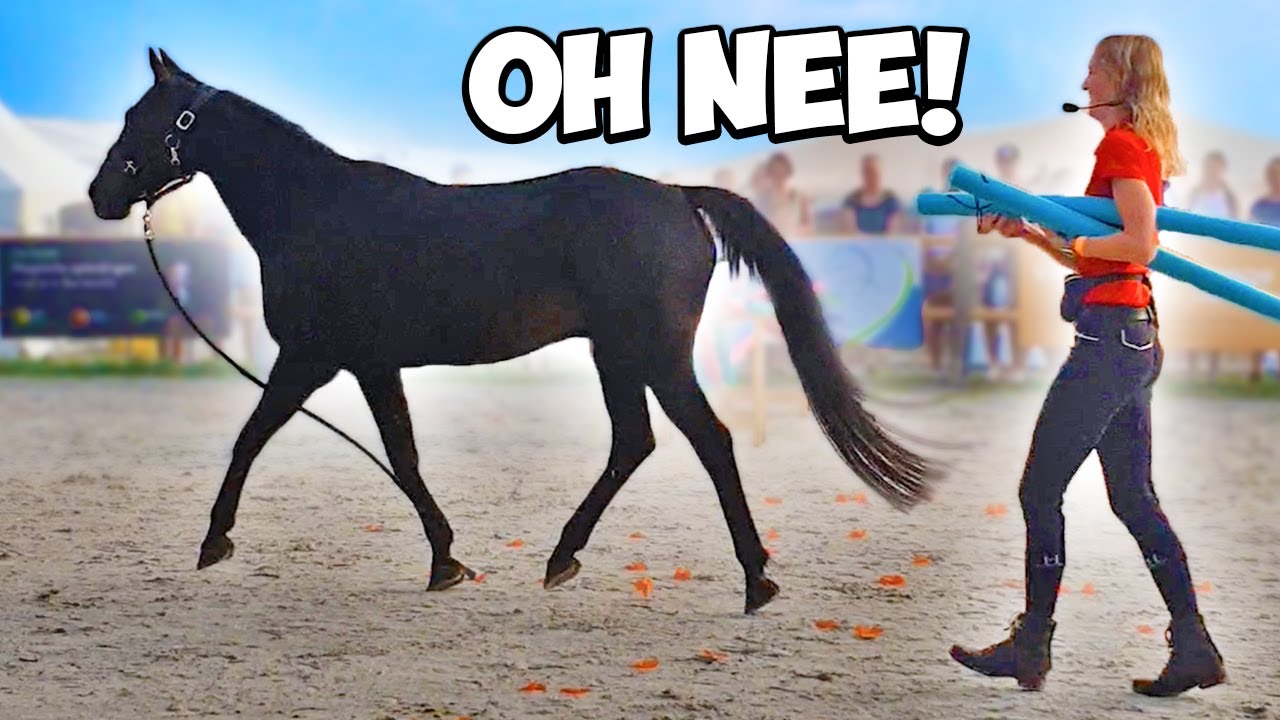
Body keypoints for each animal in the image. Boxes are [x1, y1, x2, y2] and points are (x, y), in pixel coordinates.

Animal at [88, 48, 943, 615]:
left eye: (149, 119)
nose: (100, 195)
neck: (314, 210)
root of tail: (677, 196)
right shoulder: (367, 365)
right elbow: (400, 454)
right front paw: (446, 560)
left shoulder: (314, 358)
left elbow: (252, 439)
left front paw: (214, 543)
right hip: (616, 354)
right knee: (635, 441)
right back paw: (564, 558)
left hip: (655, 354)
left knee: (709, 440)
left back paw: (756, 579)